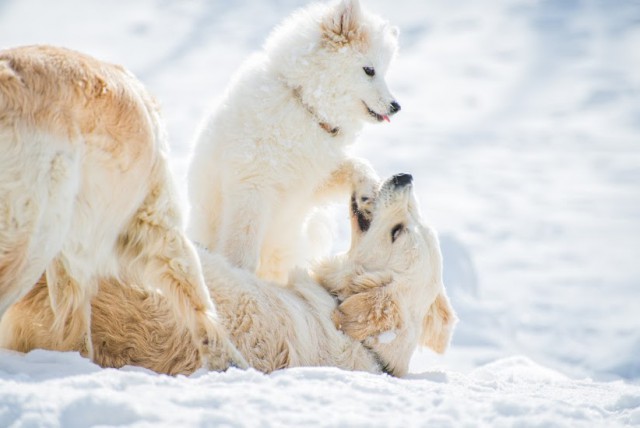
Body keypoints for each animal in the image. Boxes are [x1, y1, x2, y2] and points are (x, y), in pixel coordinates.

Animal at [0, 44, 245, 372]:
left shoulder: (75, 249)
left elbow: (71, 318)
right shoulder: (155, 218)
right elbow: (195, 293)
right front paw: (231, 362)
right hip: (36, 231)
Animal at [188, 0, 402, 280]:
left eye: (384, 72)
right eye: (369, 70)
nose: (396, 106)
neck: (305, 106)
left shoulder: (313, 179)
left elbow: (356, 163)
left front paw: (367, 190)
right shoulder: (252, 187)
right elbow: (242, 247)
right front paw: (240, 275)